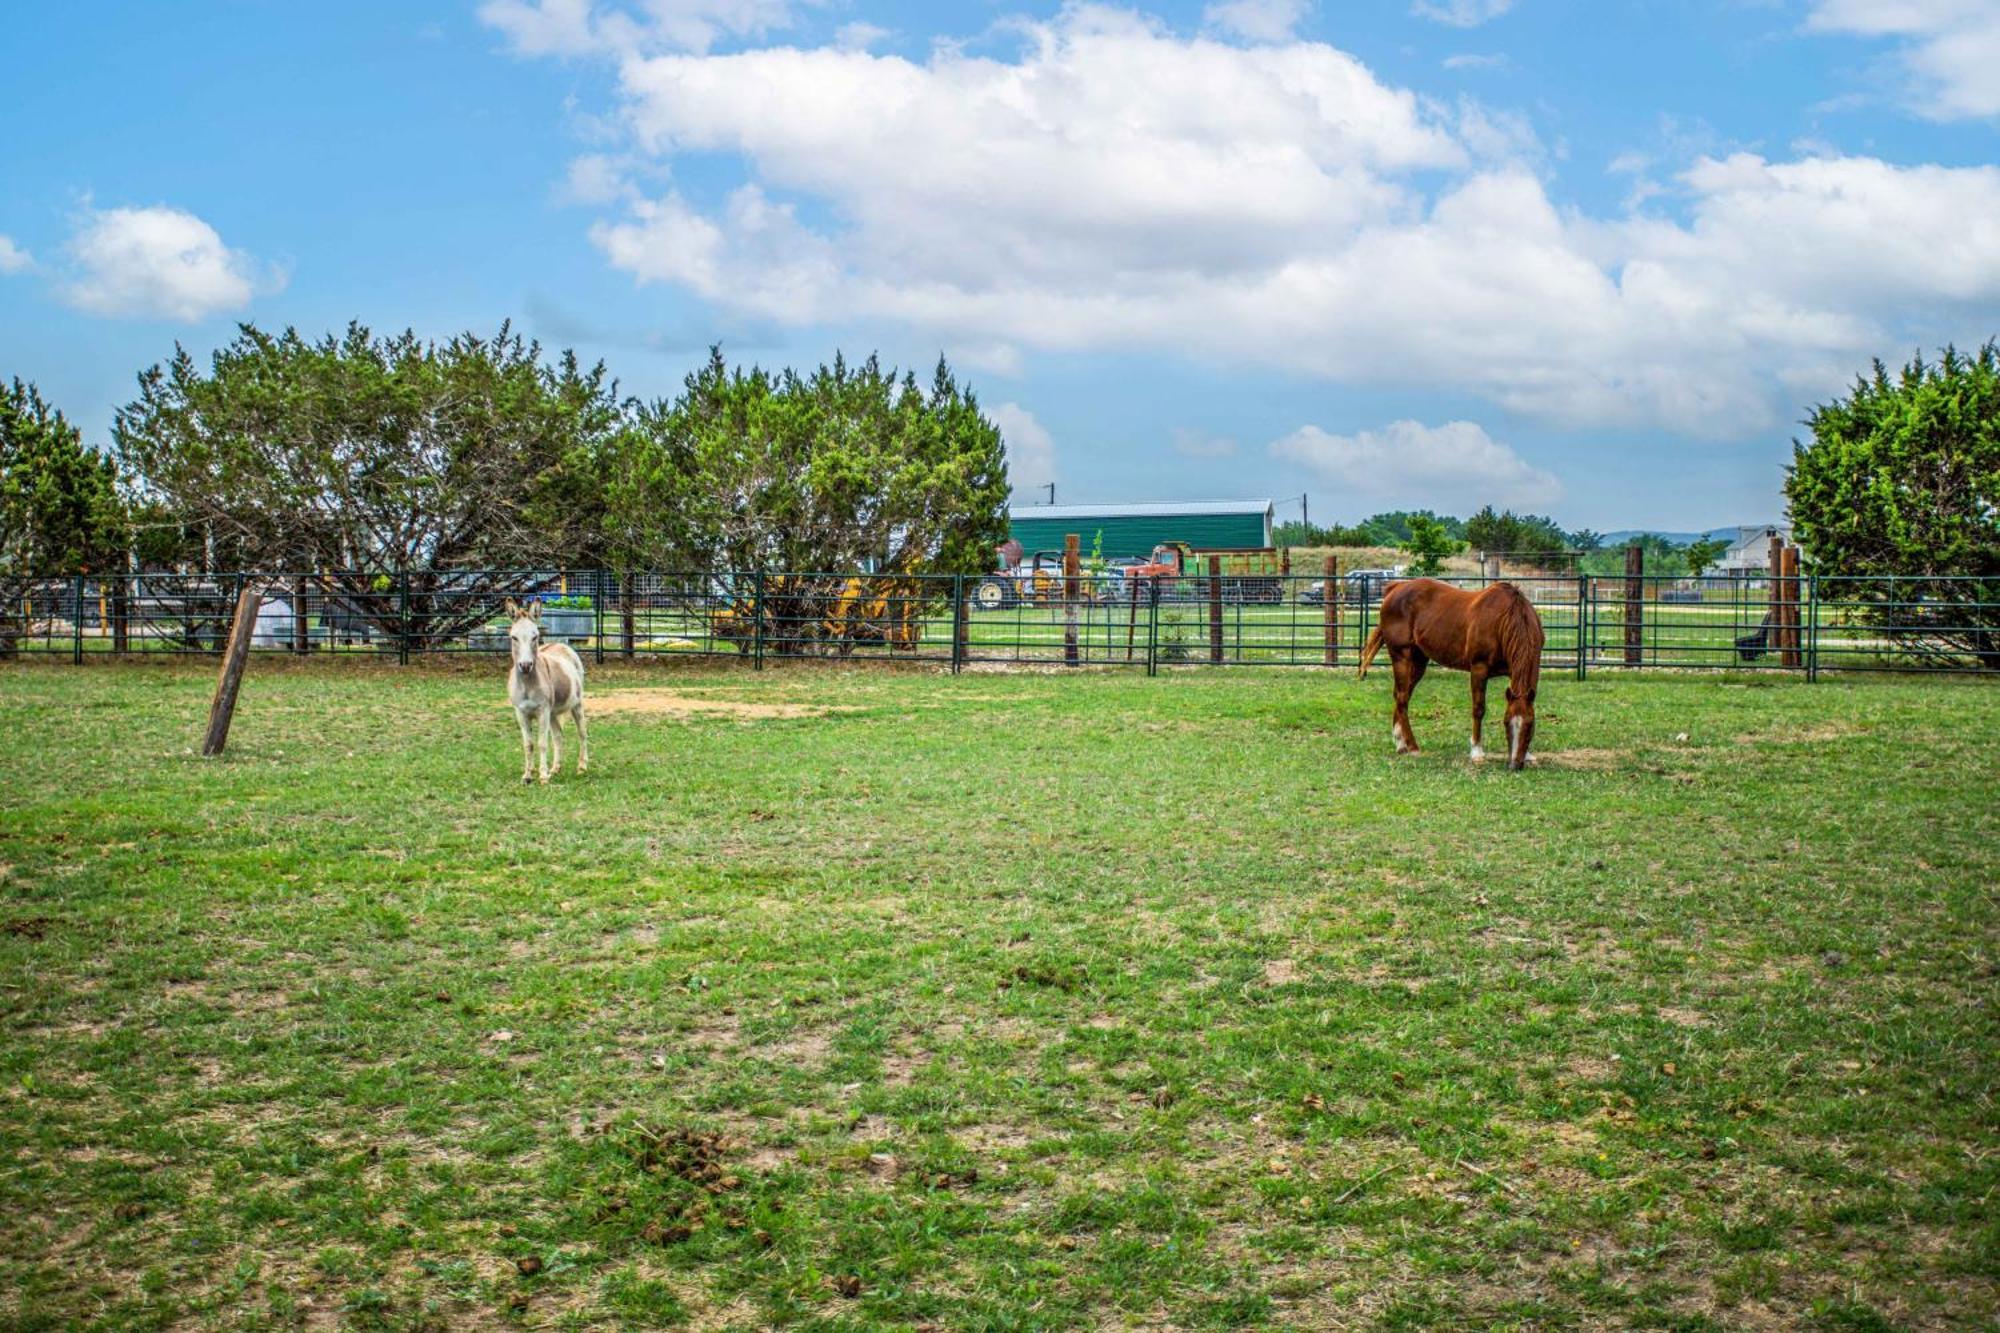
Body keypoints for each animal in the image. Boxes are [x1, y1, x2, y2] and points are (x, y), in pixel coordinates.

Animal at [1360, 580, 1544, 768]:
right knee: (1402, 698)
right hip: (1401, 656)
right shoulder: (1479, 669)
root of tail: (1396, 587)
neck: (1504, 619)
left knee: (1400, 696)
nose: (1514, 764)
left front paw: (1528, 755)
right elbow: (1478, 709)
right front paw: (1476, 752)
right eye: (1506, 723)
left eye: (1530, 725)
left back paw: (1400, 742)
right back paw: (1412, 746)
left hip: (1418, 661)